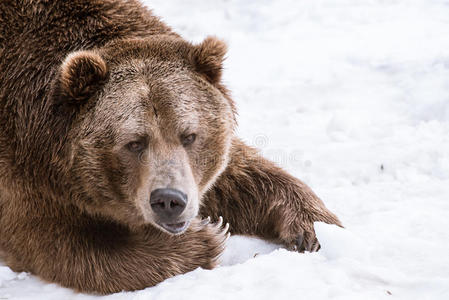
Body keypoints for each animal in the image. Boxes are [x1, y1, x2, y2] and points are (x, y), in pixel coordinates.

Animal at [0, 0, 340, 296]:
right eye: (134, 142)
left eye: (189, 135)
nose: (169, 200)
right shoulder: (26, 171)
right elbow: (62, 245)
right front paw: (206, 237)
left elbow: (242, 174)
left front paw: (312, 229)